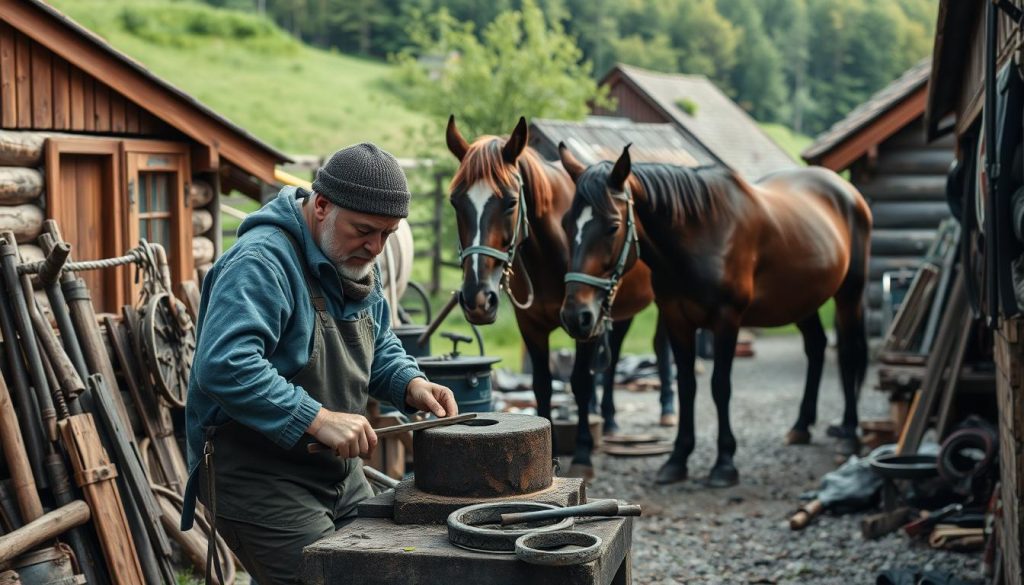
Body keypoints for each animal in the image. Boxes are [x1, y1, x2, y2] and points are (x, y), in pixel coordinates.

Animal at [446, 116, 671, 477]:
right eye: (455, 202)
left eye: (510, 202)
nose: (477, 299)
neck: (550, 252)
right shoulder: (532, 326)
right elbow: (543, 384)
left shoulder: (584, 320)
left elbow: (579, 381)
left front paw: (582, 453)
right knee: (613, 357)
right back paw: (608, 420)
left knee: (661, 348)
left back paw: (666, 410)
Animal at [561, 144, 872, 487]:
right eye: (565, 224)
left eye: (613, 226)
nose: (576, 315)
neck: (702, 233)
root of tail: (847, 192)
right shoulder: (678, 321)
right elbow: (686, 386)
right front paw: (677, 459)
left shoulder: (727, 320)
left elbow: (720, 386)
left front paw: (724, 463)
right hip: (802, 301)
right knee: (816, 347)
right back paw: (801, 427)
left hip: (849, 295)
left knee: (848, 354)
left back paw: (849, 433)